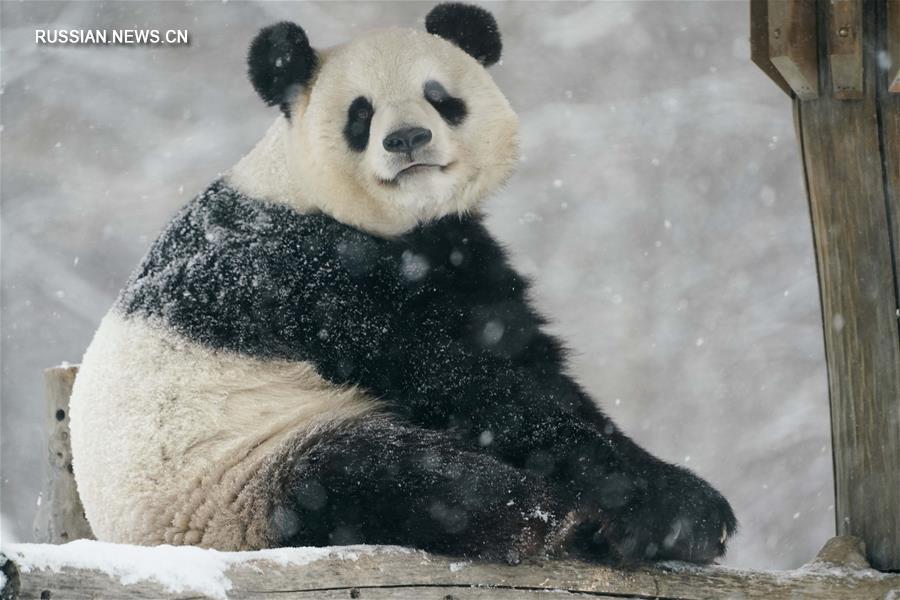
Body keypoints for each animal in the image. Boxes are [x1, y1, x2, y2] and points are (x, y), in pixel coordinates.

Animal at [68, 2, 732, 564]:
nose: (407, 139)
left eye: (439, 97)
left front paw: (684, 513)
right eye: (359, 114)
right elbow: (469, 382)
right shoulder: (312, 276)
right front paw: (671, 509)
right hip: (237, 470)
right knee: (382, 477)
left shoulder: (455, 251)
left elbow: (522, 360)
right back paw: (548, 518)